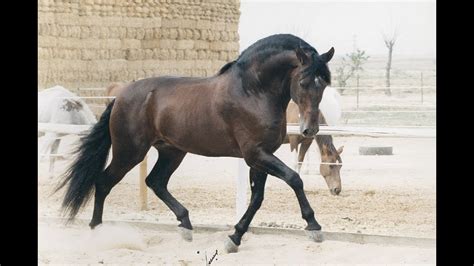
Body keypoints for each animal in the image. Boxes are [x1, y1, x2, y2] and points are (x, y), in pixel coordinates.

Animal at [57, 34, 336, 252]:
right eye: (303, 82)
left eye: (324, 84)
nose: (310, 130)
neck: (252, 92)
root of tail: (120, 96)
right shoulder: (256, 155)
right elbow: (294, 179)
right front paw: (314, 227)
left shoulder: (261, 157)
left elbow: (257, 198)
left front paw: (234, 238)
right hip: (130, 152)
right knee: (104, 182)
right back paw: (97, 233)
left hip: (172, 152)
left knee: (155, 182)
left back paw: (186, 225)